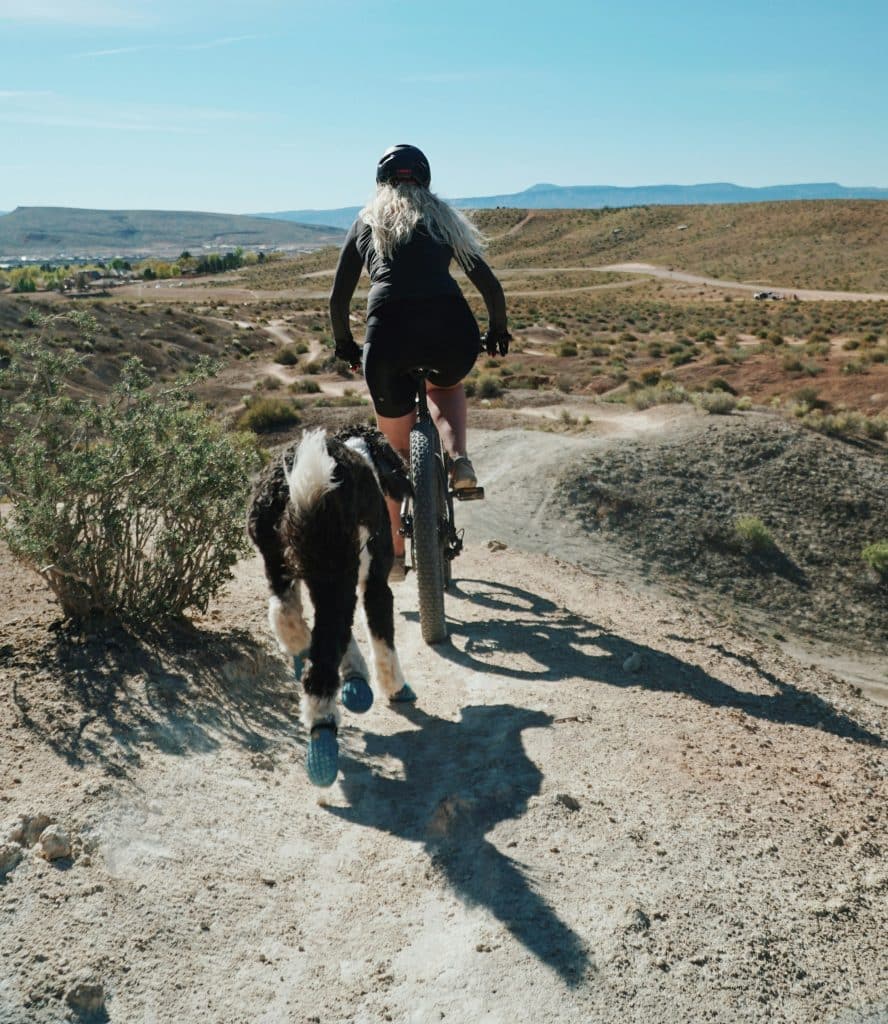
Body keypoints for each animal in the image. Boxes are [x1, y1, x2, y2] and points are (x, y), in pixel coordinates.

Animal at [247, 423, 415, 782]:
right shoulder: (374, 584)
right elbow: (382, 638)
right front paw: (395, 687)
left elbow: (347, 636)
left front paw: (356, 681)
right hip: (335, 569)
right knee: (322, 658)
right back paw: (321, 737)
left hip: (280, 563)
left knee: (286, 615)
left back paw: (300, 650)